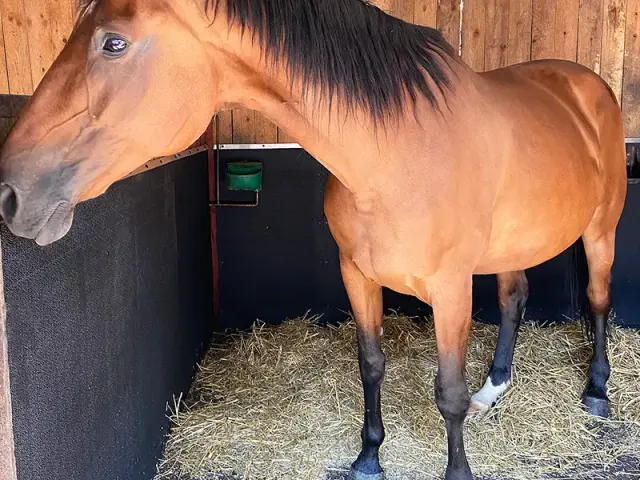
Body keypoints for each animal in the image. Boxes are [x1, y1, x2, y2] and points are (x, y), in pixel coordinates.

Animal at [0, 0, 627, 478]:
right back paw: (492, 392)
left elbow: (446, 390)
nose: (10, 191)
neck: (395, 155)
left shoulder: (450, 289)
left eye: (114, 44)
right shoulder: (356, 273)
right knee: (514, 298)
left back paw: (597, 392)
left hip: (601, 232)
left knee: (597, 301)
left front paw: (457, 471)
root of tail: (587, 84)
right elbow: (371, 365)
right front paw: (369, 458)